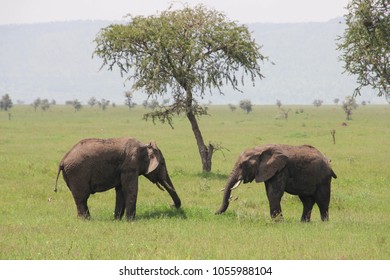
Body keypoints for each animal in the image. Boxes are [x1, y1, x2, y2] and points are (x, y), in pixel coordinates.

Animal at [53, 138, 181, 221]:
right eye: (162, 163)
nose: (172, 205)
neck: (145, 146)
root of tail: (62, 161)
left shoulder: (123, 169)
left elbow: (121, 191)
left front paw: (117, 219)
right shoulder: (129, 166)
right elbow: (130, 190)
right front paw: (130, 221)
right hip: (77, 173)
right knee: (82, 197)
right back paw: (85, 220)